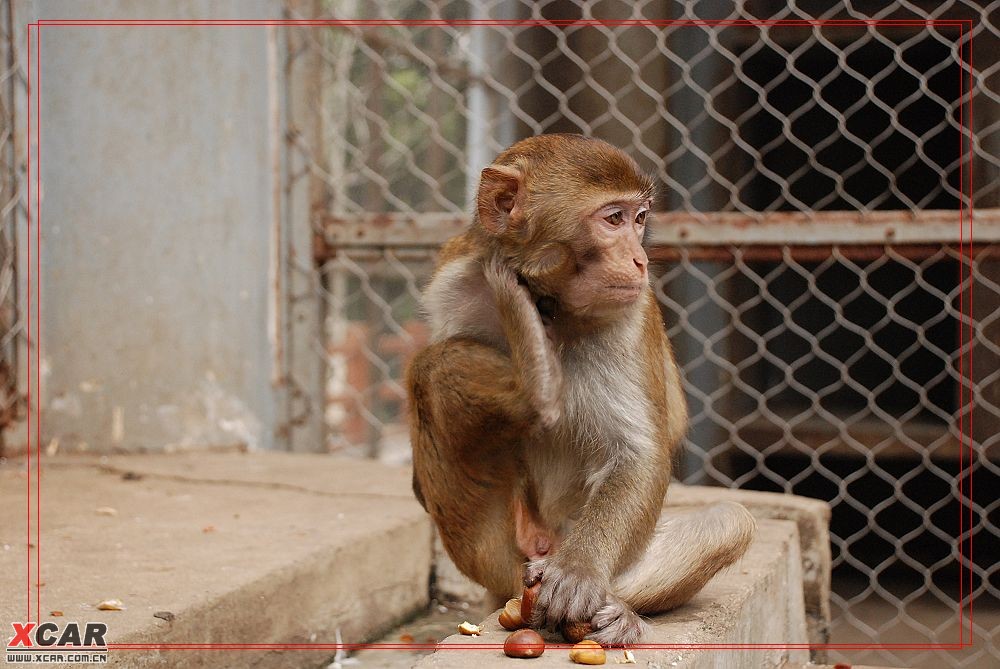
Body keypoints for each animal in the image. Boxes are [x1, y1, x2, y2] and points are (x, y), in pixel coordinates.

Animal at [402, 133, 752, 644]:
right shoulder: (456, 283)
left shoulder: (630, 315)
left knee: (729, 522)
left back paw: (617, 610)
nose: (640, 260)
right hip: (503, 552)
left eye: (639, 218)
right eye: (613, 219)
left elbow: (637, 453)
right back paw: (536, 389)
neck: (551, 304)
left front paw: (579, 573)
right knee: (429, 371)